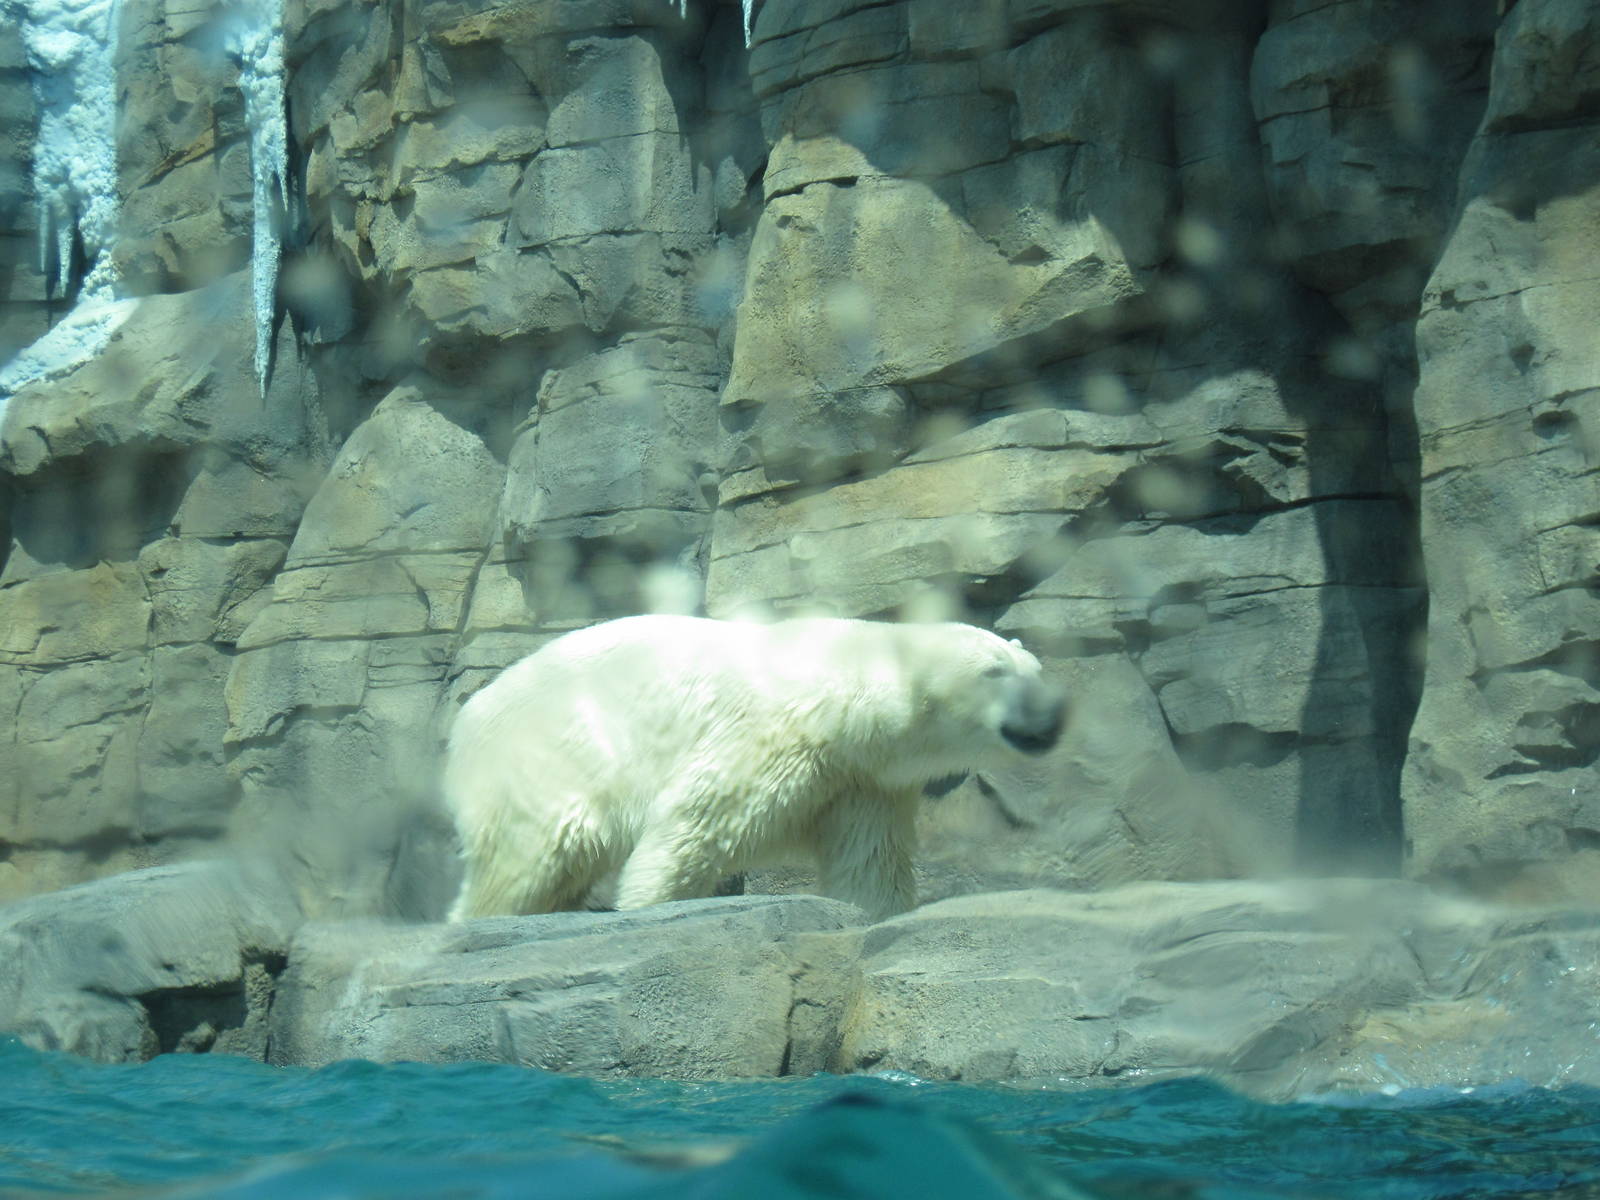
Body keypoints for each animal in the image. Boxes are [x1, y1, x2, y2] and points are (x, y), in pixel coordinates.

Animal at [443, 615, 1066, 922]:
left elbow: (870, 862)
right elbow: (693, 826)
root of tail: (465, 722)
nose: (1053, 715)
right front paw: (648, 908)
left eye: (1034, 669)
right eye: (994, 672)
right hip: (545, 763)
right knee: (532, 856)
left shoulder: (863, 782)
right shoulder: (770, 735)